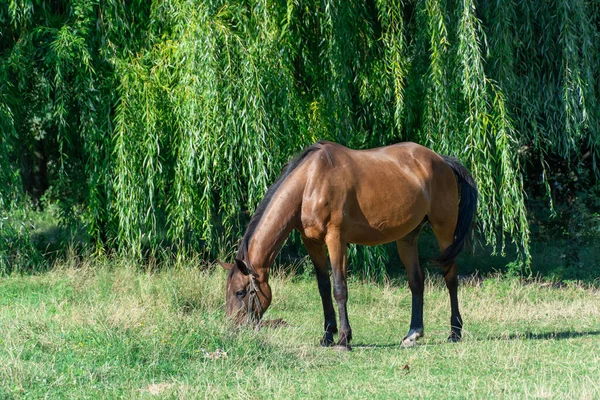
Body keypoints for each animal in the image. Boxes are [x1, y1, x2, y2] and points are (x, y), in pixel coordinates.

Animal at [220, 142, 478, 348]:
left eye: (240, 291)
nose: (233, 329)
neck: (310, 182)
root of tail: (441, 160)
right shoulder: (312, 242)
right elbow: (324, 287)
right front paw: (327, 336)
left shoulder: (336, 239)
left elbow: (339, 288)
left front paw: (344, 339)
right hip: (407, 237)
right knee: (416, 281)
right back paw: (413, 334)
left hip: (444, 230)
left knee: (451, 278)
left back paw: (455, 333)